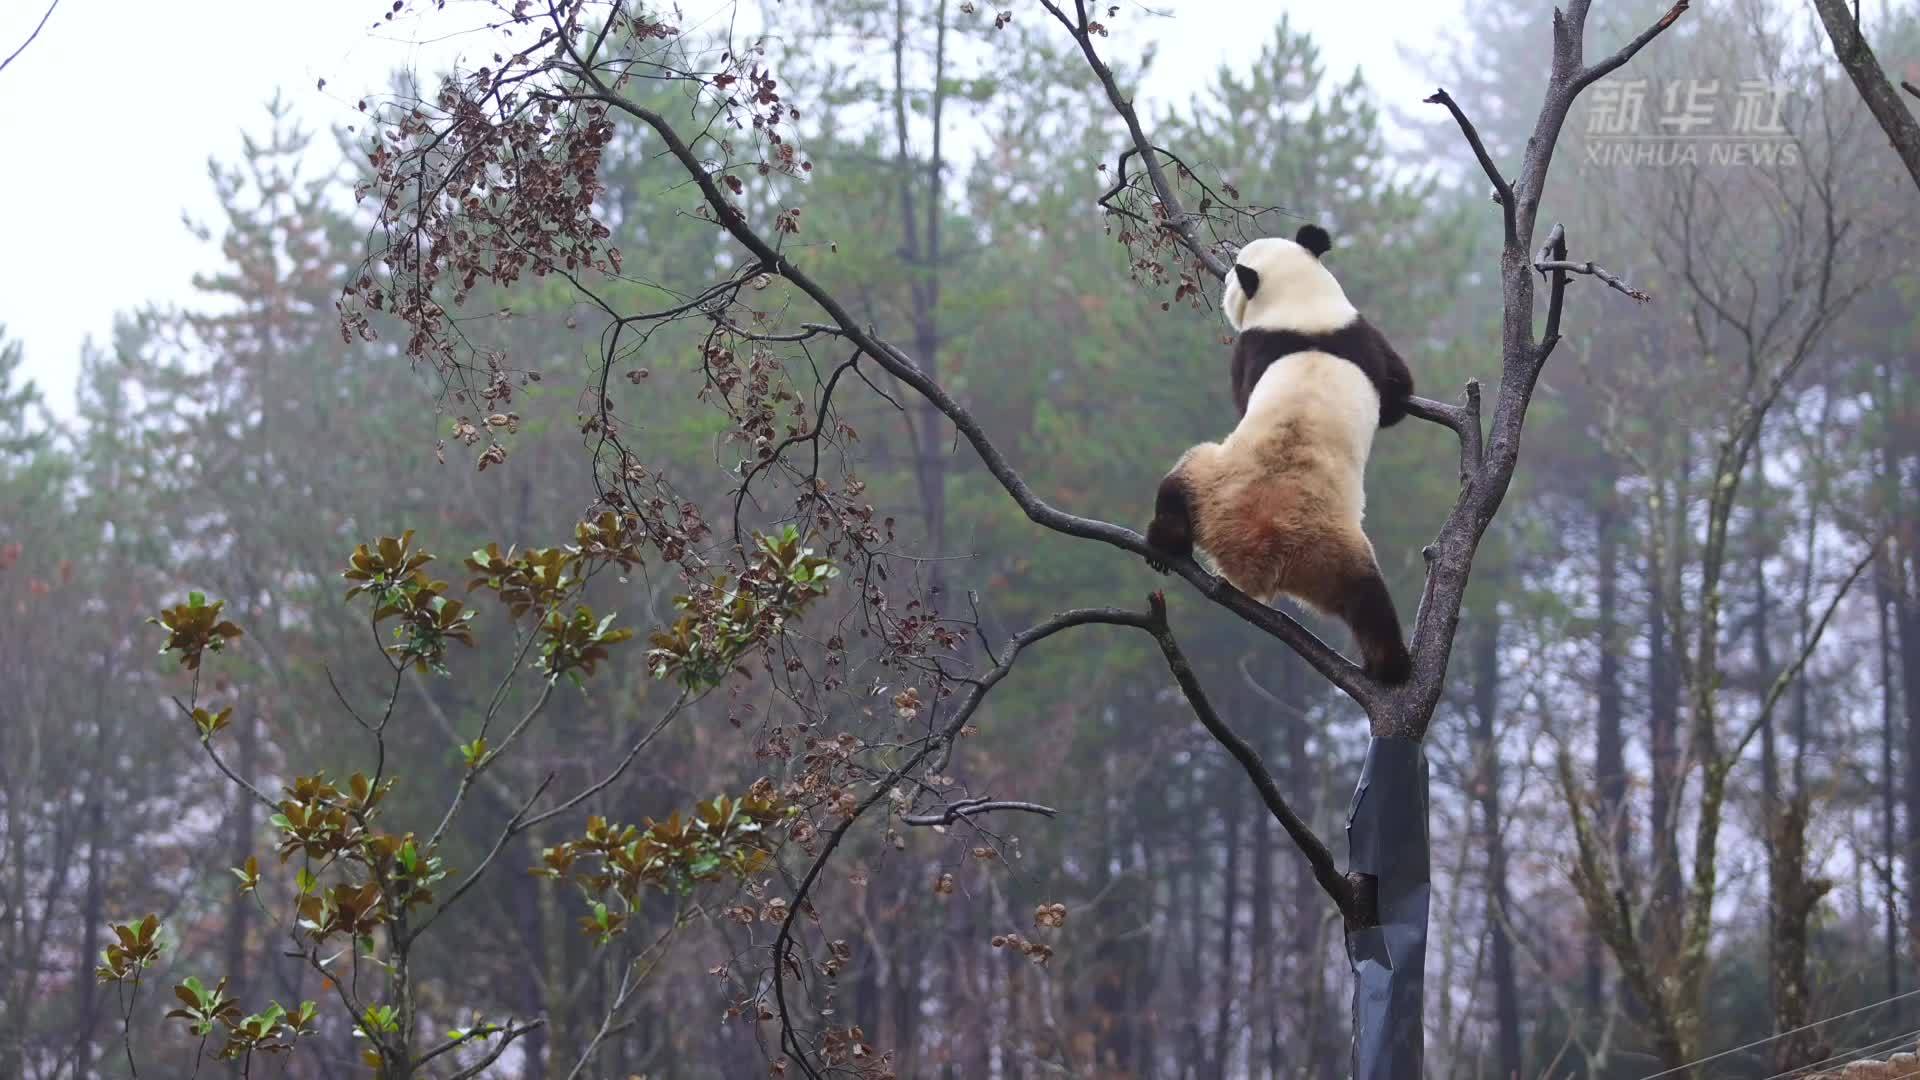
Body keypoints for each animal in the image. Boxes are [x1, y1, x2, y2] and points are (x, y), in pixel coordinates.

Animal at [1144, 225, 1420, 680]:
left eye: (1231, 278)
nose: (1224, 281)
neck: (1302, 304)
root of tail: (1259, 553)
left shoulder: (1271, 344)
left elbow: (1397, 395)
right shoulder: (1357, 335)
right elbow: (1397, 392)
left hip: (1256, 503)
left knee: (1179, 479)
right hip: (1308, 538)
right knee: (1368, 600)